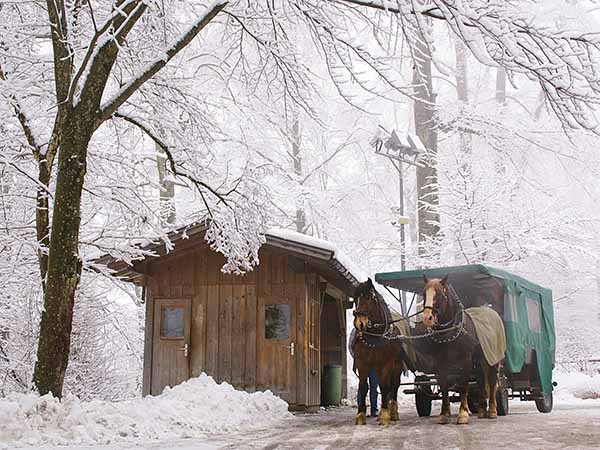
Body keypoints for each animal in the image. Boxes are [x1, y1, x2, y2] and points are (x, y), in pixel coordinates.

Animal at [350, 278, 414, 426]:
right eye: (355, 298)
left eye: (368, 297)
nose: (359, 323)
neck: (375, 336)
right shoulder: (362, 363)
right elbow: (363, 387)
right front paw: (360, 415)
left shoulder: (387, 363)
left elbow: (385, 387)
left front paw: (385, 415)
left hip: (396, 366)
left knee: (393, 386)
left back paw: (393, 413)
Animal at [422, 274, 502, 426]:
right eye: (424, 294)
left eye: (439, 294)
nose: (426, 318)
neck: (450, 330)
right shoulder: (440, 362)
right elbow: (444, 386)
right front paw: (444, 414)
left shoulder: (465, 360)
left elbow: (463, 385)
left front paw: (463, 414)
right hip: (479, 359)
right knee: (481, 379)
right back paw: (482, 411)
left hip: (492, 358)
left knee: (492, 380)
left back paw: (492, 411)